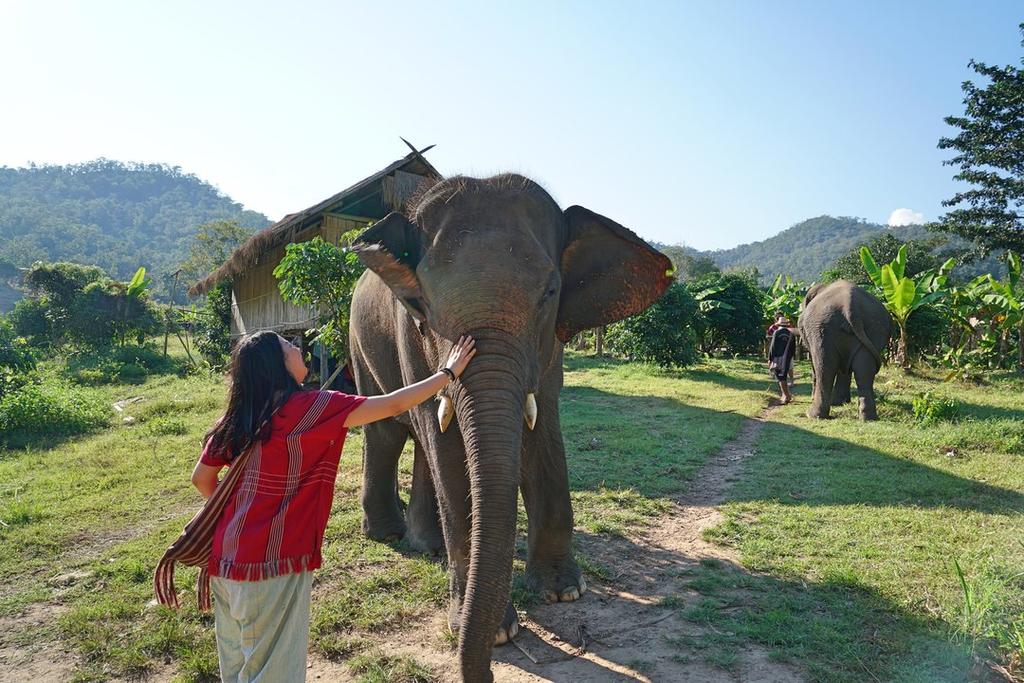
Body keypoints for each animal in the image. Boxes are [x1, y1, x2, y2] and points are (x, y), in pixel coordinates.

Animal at [348, 173, 672, 682]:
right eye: (423, 305)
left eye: (550, 293)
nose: (488, 667)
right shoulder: (408, 336)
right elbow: (446, 443)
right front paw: (498, 632)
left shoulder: (550, 346)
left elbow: (542, 429)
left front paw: (562, 593)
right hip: (360, 345)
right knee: (388, 434)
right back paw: (388, 537)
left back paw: (428, 546)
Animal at [797, 279, 893, 421]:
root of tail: (850, 306)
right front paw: (842, 402)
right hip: (875, 328)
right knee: (864, 370)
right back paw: (868, 417)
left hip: (821, 328)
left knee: (824, 367)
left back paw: (812, 415)